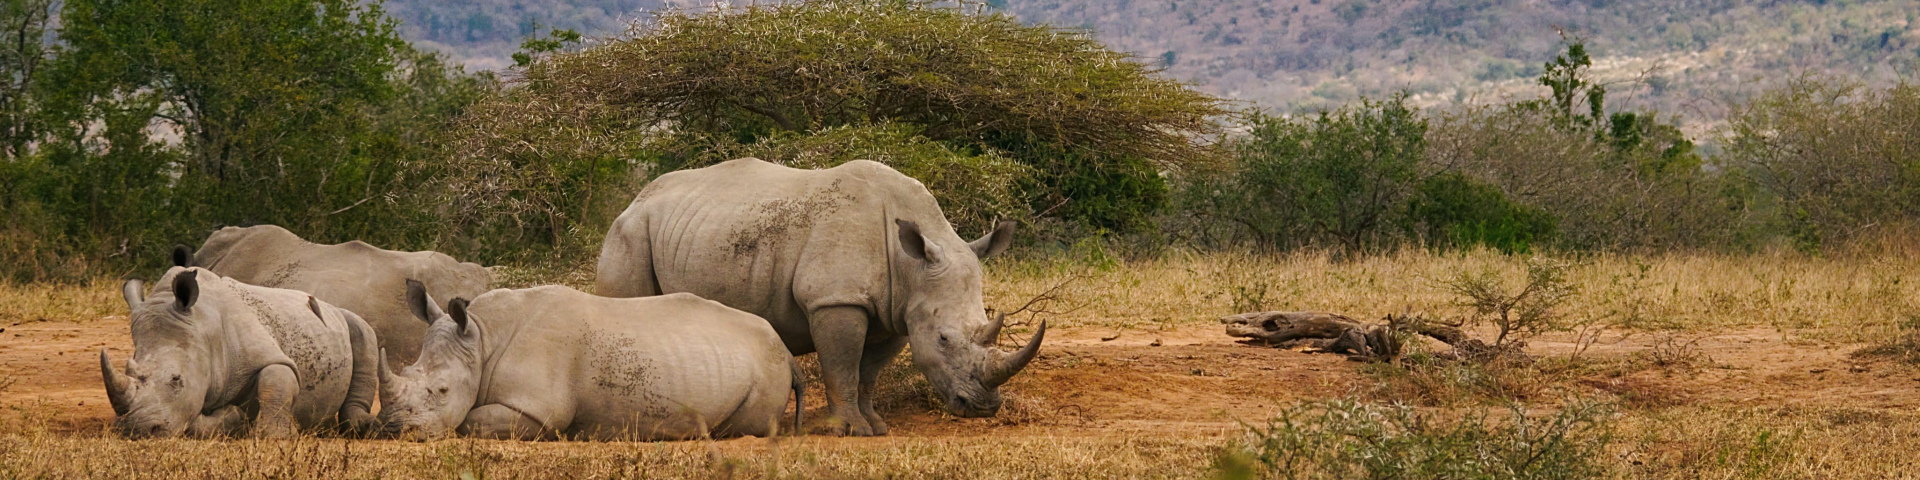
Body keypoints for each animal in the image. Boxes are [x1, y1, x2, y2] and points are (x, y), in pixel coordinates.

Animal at [101, 267, 380, 439]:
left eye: (176, 379)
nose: (138, 429)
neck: (204, 327)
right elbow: (196, 424)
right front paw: (234, 417)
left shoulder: (266, 352)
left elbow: (276, 380)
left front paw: (275, 436)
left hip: (346, 317)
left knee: (364, 332)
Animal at [378, 282, 799, 441]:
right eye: (407, 371)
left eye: (441, 390)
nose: (392, 428)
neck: (481, 339)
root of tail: (786, 349)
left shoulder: (537, 409)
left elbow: (470, 422)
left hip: (767, 364)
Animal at [595, 158, 1044, 436]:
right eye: (944, 339)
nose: (983, 407)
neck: (910, 266)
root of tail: (635, 199)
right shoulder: (835, 298)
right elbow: (841, 366)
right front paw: (849, 431)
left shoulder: (897, 312)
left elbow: (868, 373)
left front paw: (876, 426)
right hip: (629, 232)